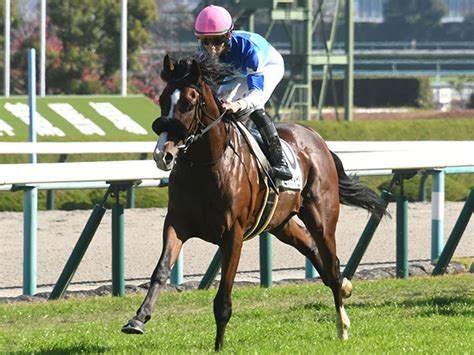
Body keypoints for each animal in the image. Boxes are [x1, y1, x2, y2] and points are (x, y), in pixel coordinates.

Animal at [122, 52, 386, 350]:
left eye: (189, 103)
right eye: (162, 99)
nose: (161, 155)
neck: (208, 164)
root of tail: (317, 139)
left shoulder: (233, 233)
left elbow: (223, 297)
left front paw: (219, 345)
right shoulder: (177, 223)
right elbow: (161, 270)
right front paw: (138, 319)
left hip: (322, 218)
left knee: (330, 260)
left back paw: (342, 325)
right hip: (281, 223)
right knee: (314, 251)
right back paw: (344, 286)